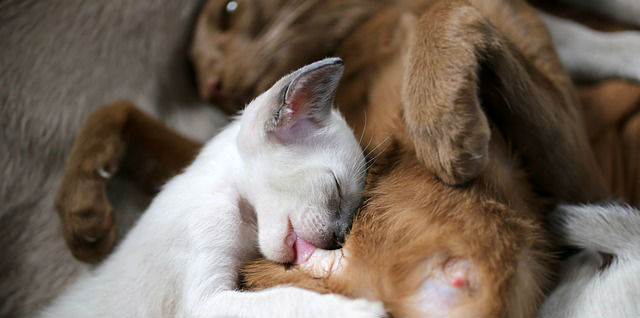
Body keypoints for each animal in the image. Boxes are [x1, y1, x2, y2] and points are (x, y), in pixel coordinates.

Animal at [40, 58, 384, 316]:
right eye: (336, 188)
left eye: (353, 211)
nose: (340, 238)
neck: (246, 223)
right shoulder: (206, 301)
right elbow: (289, 298)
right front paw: (361, 310)